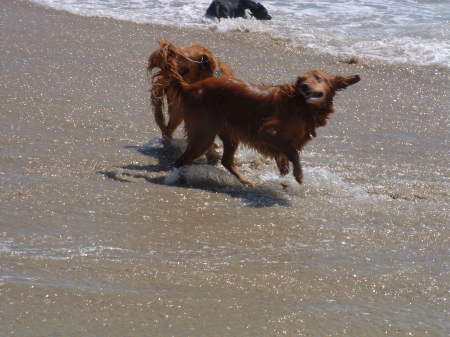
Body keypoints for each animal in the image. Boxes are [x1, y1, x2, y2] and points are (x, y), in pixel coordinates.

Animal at [156, 44, 360, 185]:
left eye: (318, 78)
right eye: (301, 79)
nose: (304, 87)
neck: (302, 106)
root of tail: (190, 87)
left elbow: (285, 157)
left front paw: (285, 174)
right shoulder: (266, 132)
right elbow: (292, 151)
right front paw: (299, 175)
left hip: (229, 134)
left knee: (226, 160)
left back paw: (246, 181)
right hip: (204, 133)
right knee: (181, 160)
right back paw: (178, 178)